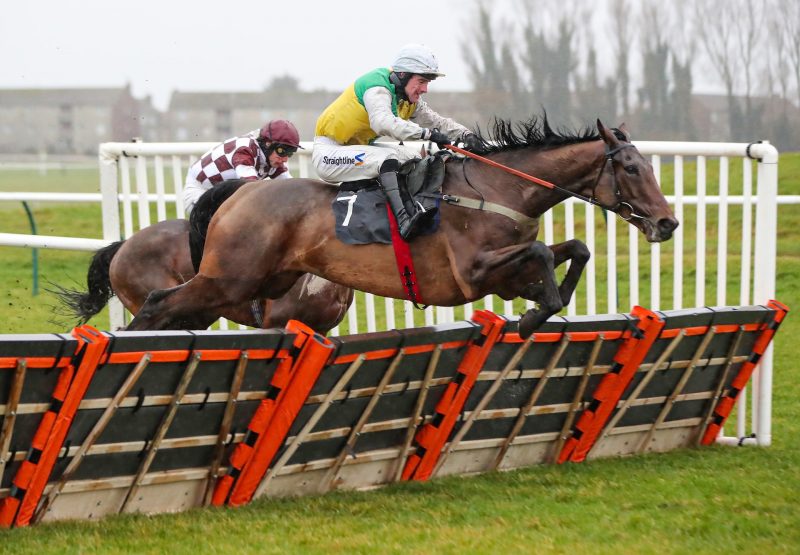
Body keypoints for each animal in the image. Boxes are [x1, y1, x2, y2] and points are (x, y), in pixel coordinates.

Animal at [128, 118, 680, 338]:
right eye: (631, 168)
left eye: (650, 166)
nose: (668, 222)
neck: (497, 188)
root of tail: (242, 192)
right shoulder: (473, 273)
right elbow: (545, 254)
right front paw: (530, 319)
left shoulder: (506, 273)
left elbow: (574, 249)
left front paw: (544, 305)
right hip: (230, 278)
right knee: (156, 304)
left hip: (256, 283)